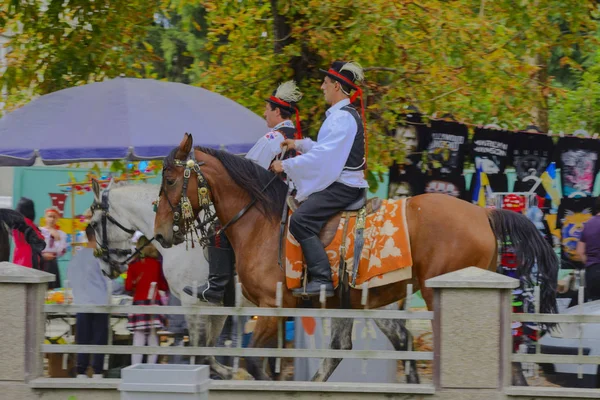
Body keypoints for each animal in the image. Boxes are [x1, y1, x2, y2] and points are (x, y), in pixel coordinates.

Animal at [89, 180, 232, 376]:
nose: (104, 268)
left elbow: (200, 350)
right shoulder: (217, 305)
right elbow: (209, 352)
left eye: (94, 224)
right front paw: (229, 373)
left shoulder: (193, 303)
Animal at [154, 134, 556, 384]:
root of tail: (483, 213)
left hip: (436, 293)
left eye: (171, 179)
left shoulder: (273, 305)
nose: (159, 233)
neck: (260, 222)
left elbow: (252, 359)